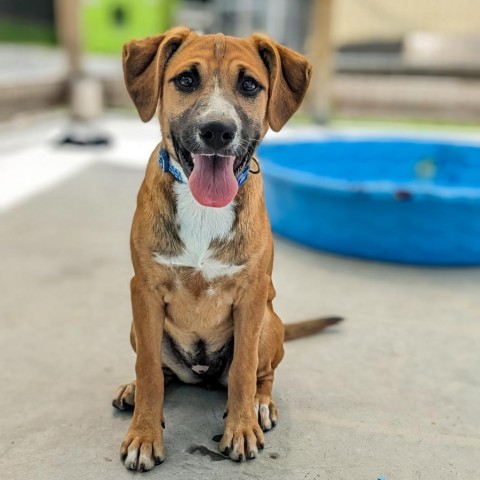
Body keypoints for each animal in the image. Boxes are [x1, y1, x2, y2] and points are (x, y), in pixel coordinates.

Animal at [112, 27, 340, 472]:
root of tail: (201, 374)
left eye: (250, 85)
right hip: (136, 325)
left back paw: (261, 405)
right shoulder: (142, 291)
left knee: (262, 373)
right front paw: (144, 434)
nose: (217, 131)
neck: (203, 208)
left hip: (270, 322)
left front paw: (242, 428)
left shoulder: (251, 297)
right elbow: (148, 369)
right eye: (185, 79)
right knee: (159, 370)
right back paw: (132, 389)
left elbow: (243, 371)